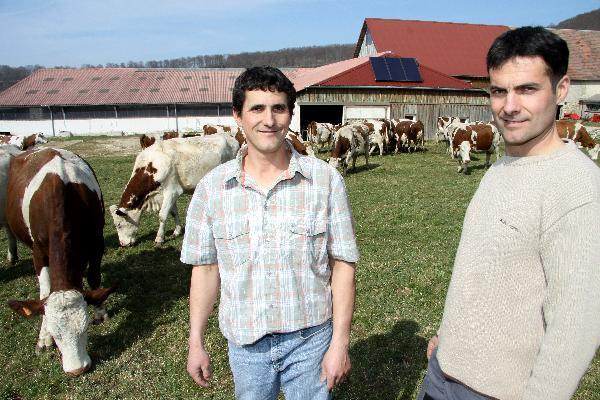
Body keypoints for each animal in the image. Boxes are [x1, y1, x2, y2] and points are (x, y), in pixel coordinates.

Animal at [6, 147, 113, 376]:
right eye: (56, 335)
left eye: (86, 327)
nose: (77, 369)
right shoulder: (38, 251)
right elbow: (44, 293)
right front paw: (44, 338)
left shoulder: (96, 240)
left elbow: (94, 276)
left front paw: (100, 310)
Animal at [110, 133, 239, 245]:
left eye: (119, 225)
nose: (122, 244)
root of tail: (229, 136)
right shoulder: (169, 193)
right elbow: (173, 212)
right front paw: (177, 231)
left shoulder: (171, 191)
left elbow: (162, 216)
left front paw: (159, 238)